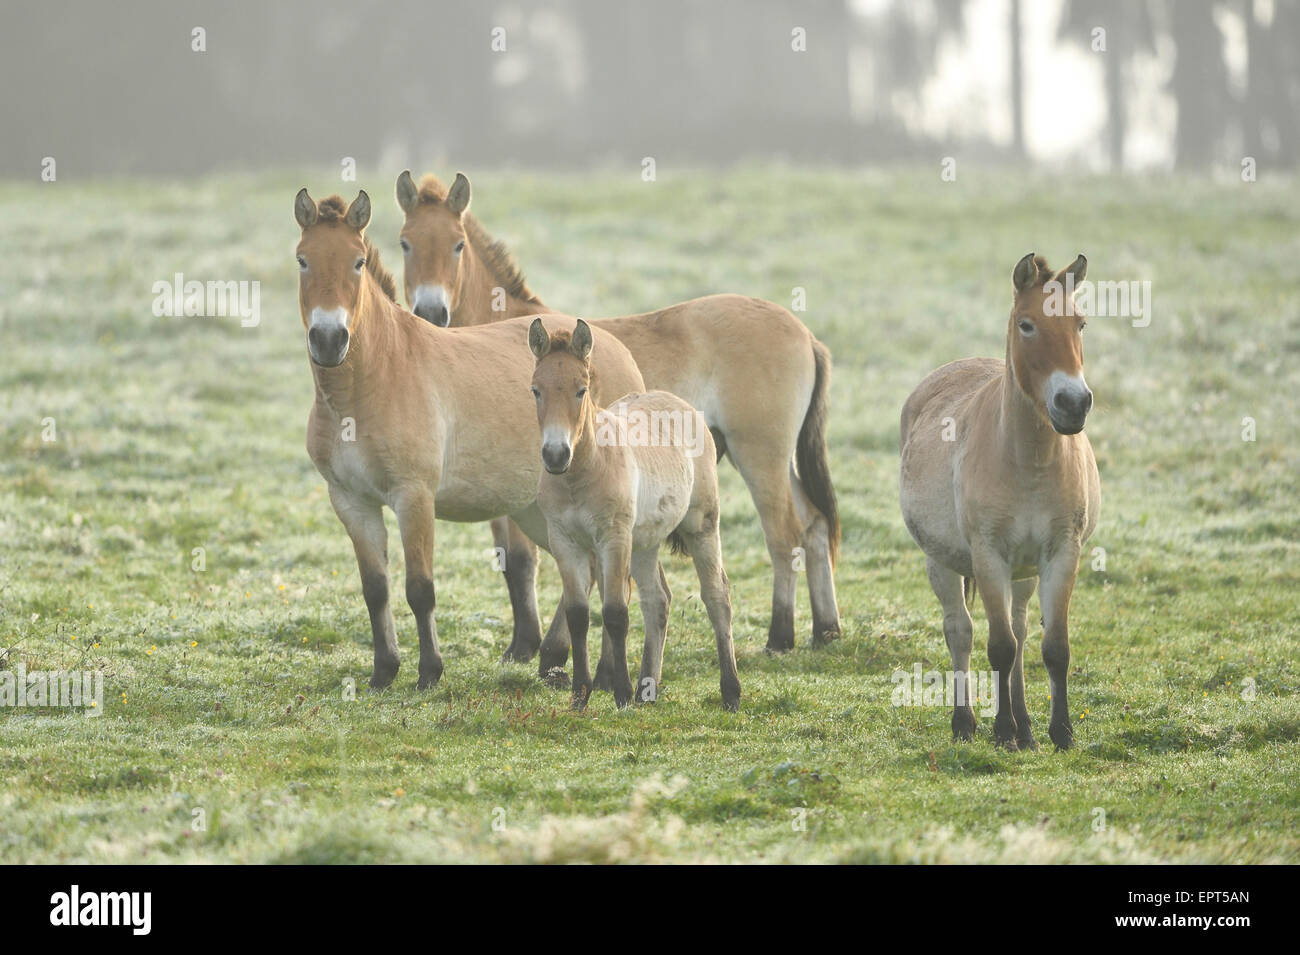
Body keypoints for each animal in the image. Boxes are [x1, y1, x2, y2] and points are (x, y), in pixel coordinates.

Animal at [292, 191, 642, 691]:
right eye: (303, 260)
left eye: (357, 262)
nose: (327, 339)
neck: (371, 381)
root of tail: (616, 349)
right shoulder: (351, 502)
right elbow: (375, 589)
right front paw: (383, 671)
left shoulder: (413, 497)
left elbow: (419, 589)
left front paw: (428, 672)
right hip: (536, 509)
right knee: (588, 570)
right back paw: (555, 661)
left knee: (614, 579)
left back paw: (598, 673)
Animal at [392, 171, 842, 665]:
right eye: (405, 243)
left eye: (456, 244)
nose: (431, 311)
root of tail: (805, 335)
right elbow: (516, 562)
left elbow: (526, 561)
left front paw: (534, 647)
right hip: (781, 460)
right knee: (815, 524)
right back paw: (826, 630)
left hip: (760, 455)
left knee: (784, 535)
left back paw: (780, 636)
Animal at [527, 319, 743, 712]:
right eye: (536, 390)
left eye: (581, 390)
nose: (555, 455)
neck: (581, 474)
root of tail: (680, 403)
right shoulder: (564, 541)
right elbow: (579, 614)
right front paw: (580, 696)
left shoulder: (614, 538)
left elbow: (615, 612)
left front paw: (621, 694)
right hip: (645, 541)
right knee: (658, 600)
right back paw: (648, 688)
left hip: (701, 525)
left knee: (717, 595)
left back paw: (731, 692)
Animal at [904, 254, 1097, 753]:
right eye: (1027, 325)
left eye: (1081, 324)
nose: (1073, 403)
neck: (1028, 461)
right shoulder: (989, 555)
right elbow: (999, 648)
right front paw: (1002, 730)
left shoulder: (1061, 552)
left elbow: (1052, 648)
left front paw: (1059, 733)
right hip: (942, 562)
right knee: (962, 632)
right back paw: (966, 722)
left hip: (1024, 573)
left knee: (1021, 629)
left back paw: (1027, 727)